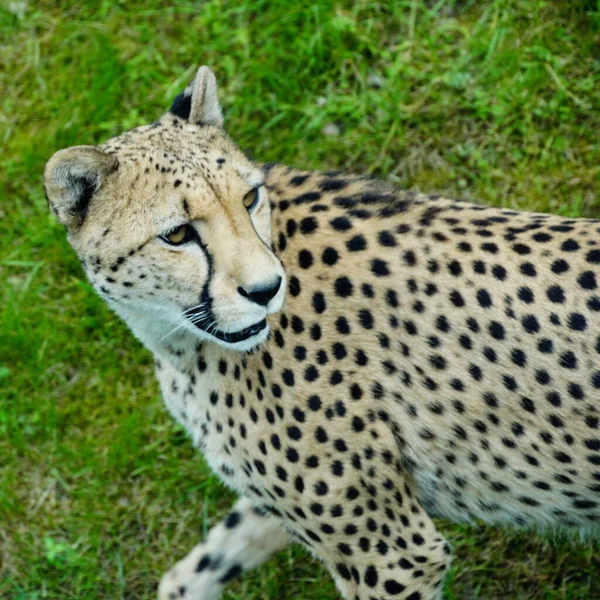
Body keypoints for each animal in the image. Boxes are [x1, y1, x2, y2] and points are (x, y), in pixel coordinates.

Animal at [44, 67, 600, 600]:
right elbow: (197, 568)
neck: (181, 337)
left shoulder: (396, 554)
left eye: (249, 197)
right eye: (177, 234)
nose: (267, 289)